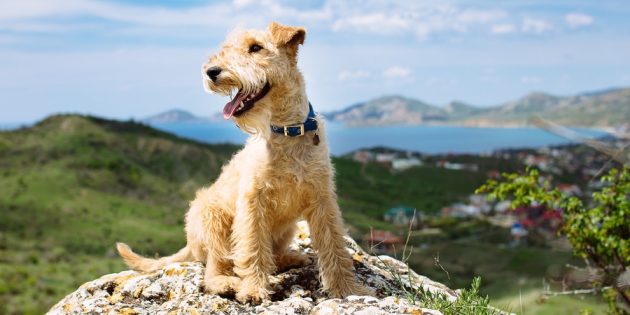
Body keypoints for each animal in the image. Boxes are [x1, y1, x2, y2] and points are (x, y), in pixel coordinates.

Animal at [116, 21, 372, 304]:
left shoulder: (322, 200)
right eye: (227, 48)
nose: (211, 71)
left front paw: (348, 289)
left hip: (286, 229)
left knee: (271, 255)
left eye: (256, 48)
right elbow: (253, 249)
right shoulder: (253, 202)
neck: (286, 132)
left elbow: (335, 247)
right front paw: (252, 290)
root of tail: (190, 243)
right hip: (212, 219)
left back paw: (290, 258)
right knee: (214, 269)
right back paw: (227, 283)